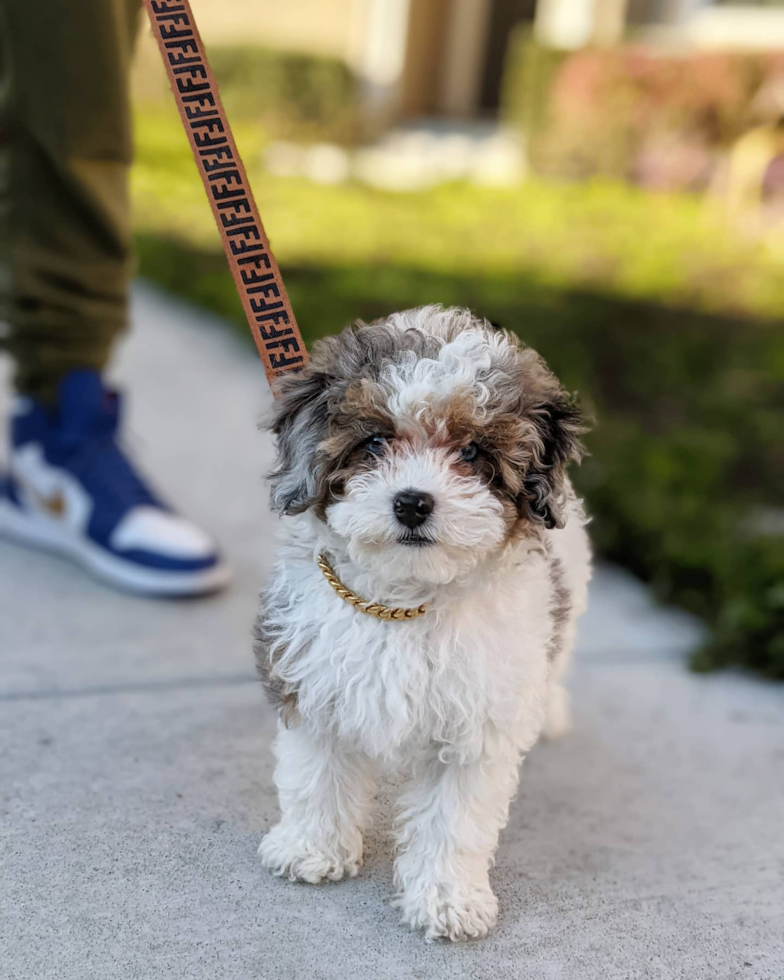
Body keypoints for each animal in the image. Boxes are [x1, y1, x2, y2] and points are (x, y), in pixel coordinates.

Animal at [254, 304, 592, 940]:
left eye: (473, 453)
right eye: (375, 441)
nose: (412, 502)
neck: (403, 601)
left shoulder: (476, 725)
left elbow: (453, 822)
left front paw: (447, 898)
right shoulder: (314, 684)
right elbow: (316, 776)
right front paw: (311, 848)